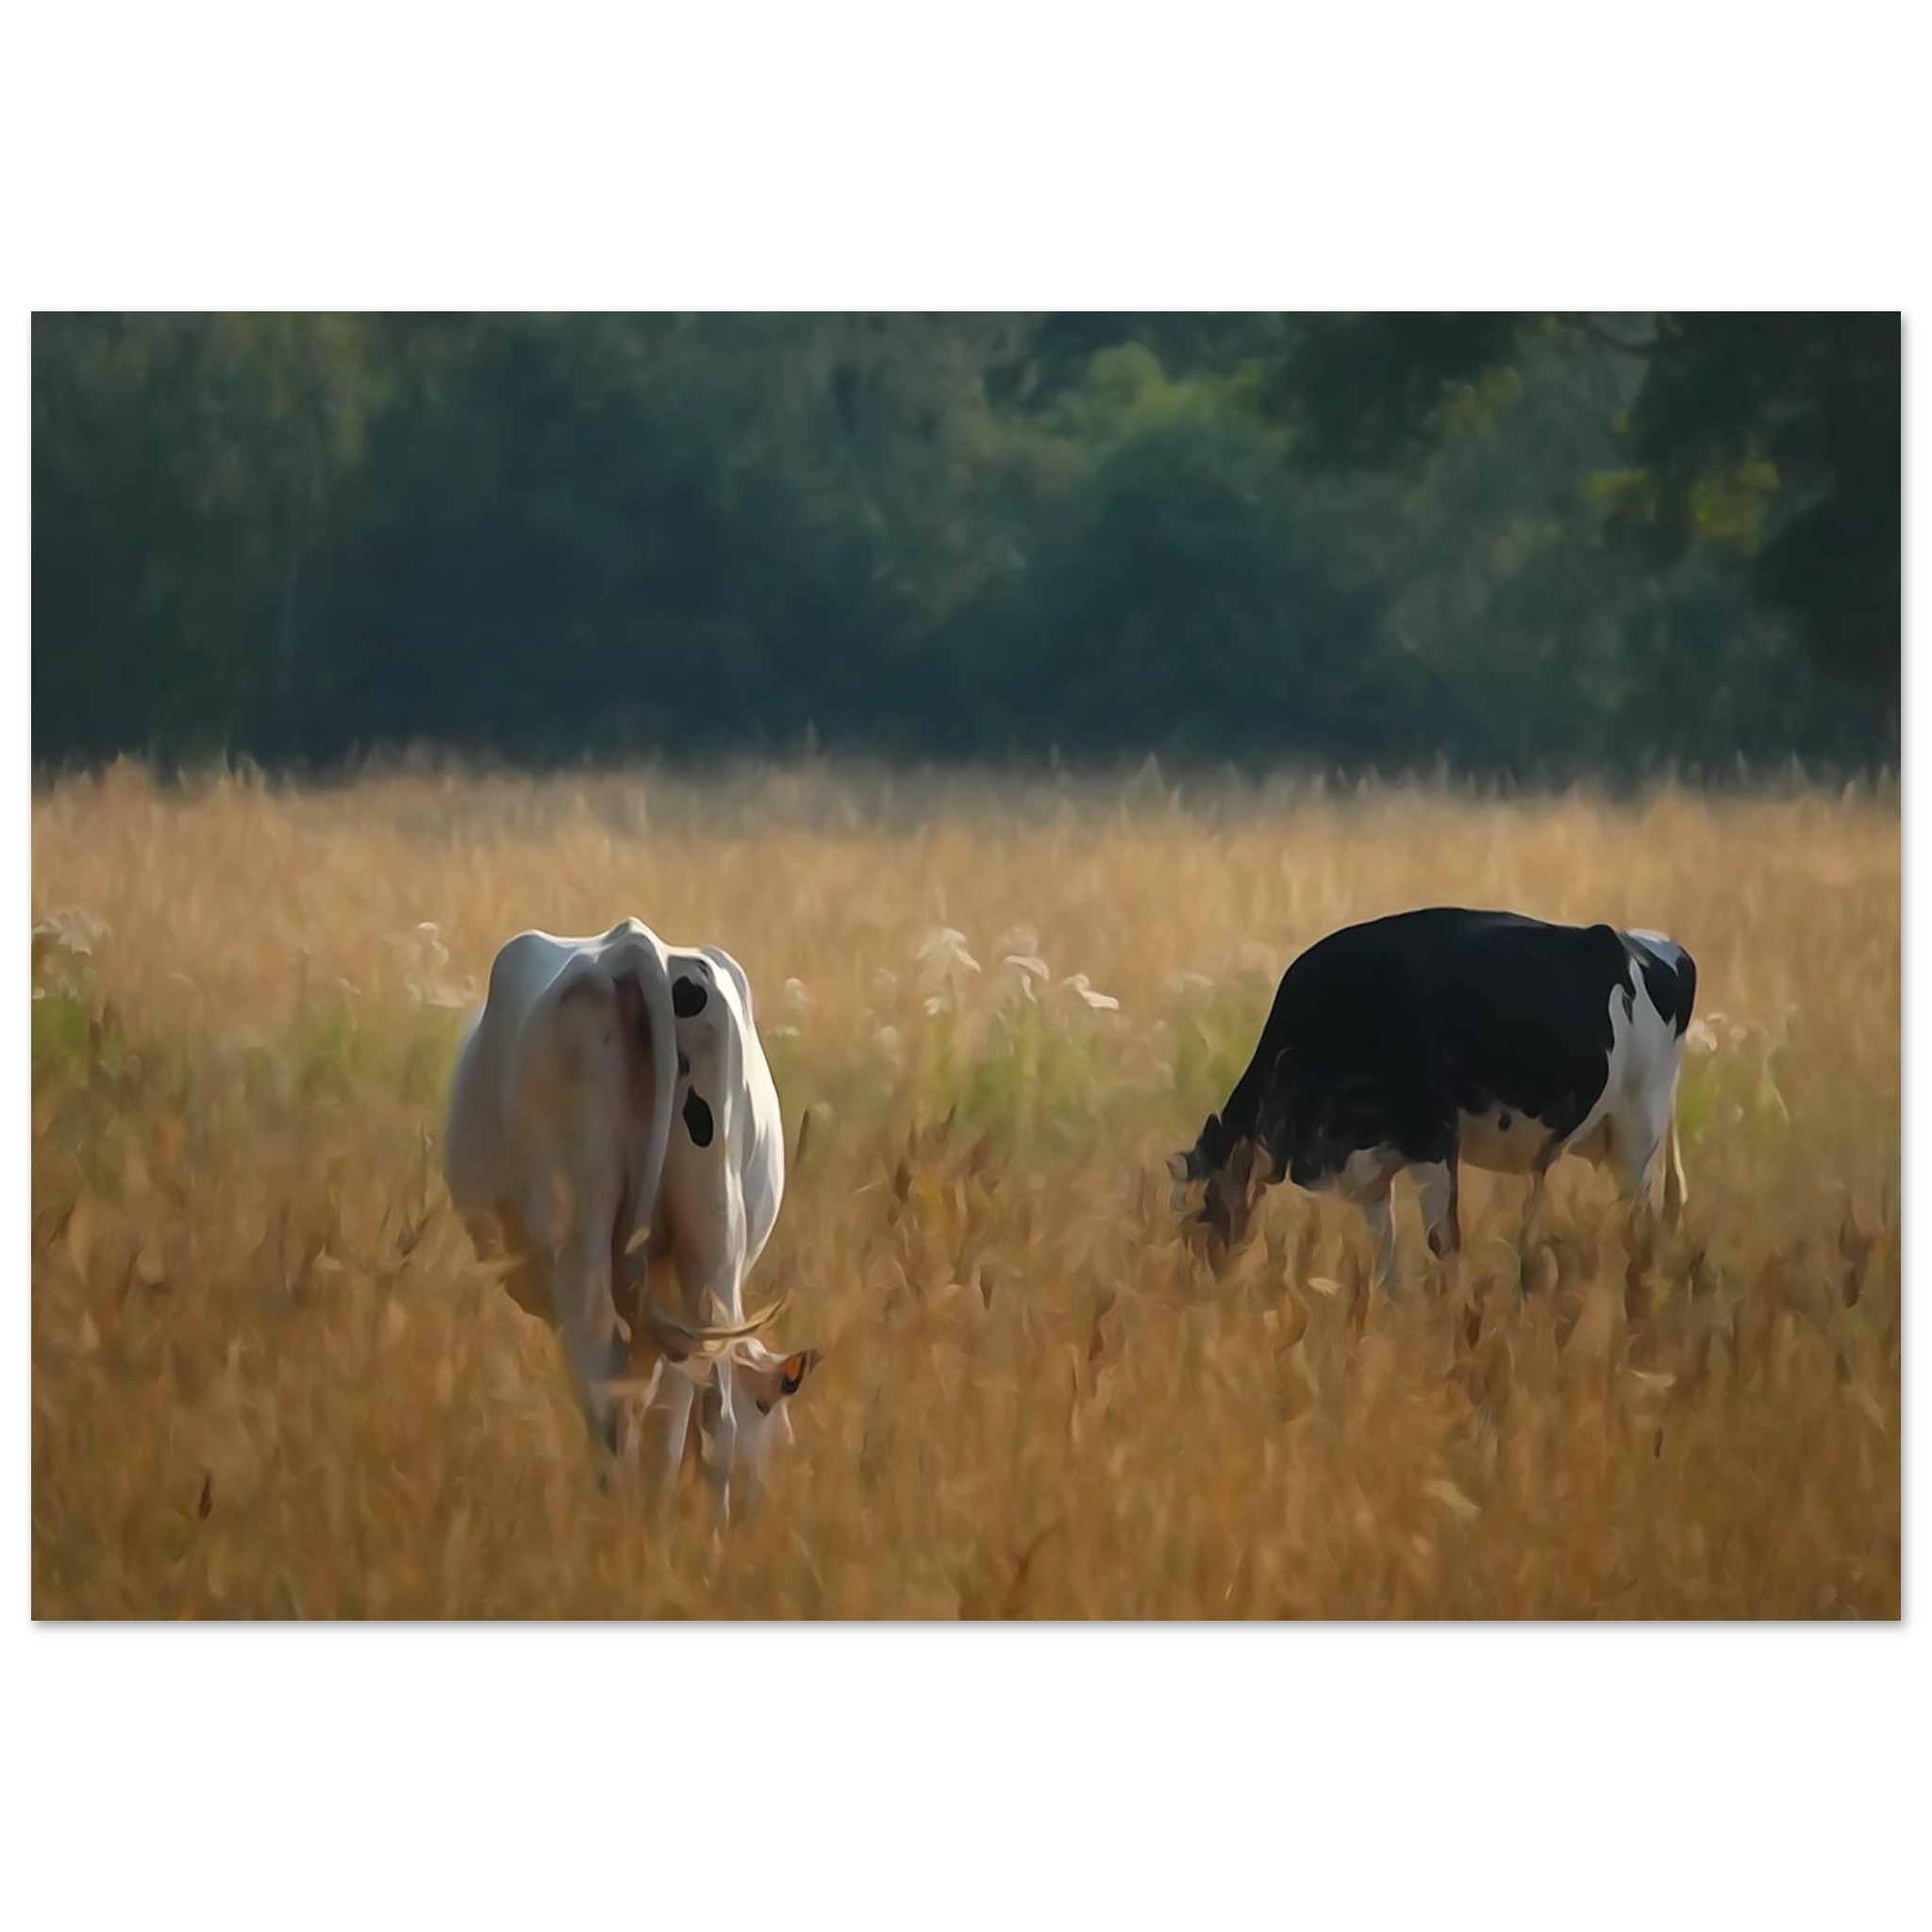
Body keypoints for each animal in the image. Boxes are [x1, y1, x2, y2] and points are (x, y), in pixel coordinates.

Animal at [443, 919, 814, 1514]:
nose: (758, 1508)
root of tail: (637, 947)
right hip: (710, 1250)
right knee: (710, 1414)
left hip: (582, 1250)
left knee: (610, 1402)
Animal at [1169, 908, 1697, 1285]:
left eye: (1200, 1220)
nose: (1198, 1297)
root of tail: (1650, 942)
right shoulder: (1368, 1173)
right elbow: (1384, 1265)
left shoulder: (1434, 1141)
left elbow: (1444, 1245)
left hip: (1638, 1133)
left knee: (1640, 1227)